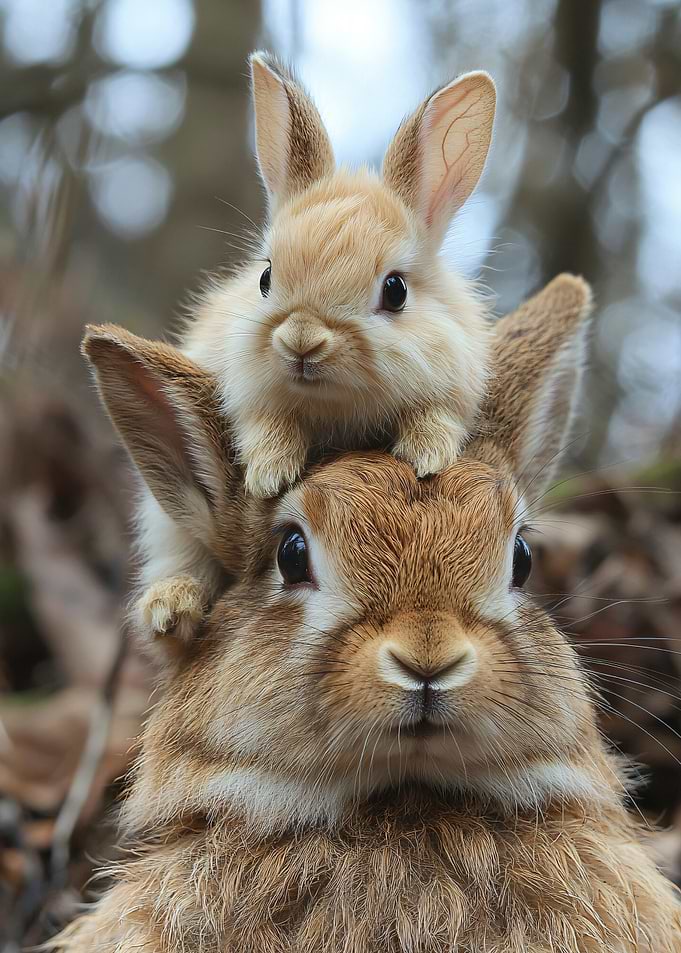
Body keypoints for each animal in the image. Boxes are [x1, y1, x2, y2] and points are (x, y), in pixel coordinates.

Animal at [134, 49, 496, 647]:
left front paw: (424, 459)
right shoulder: (249, 394)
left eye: (396, 290)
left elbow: (436, 418)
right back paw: (170, 606)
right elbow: (264, 425)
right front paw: (271, 474)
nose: (301, 340)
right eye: (266, 278)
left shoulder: (450, 388)